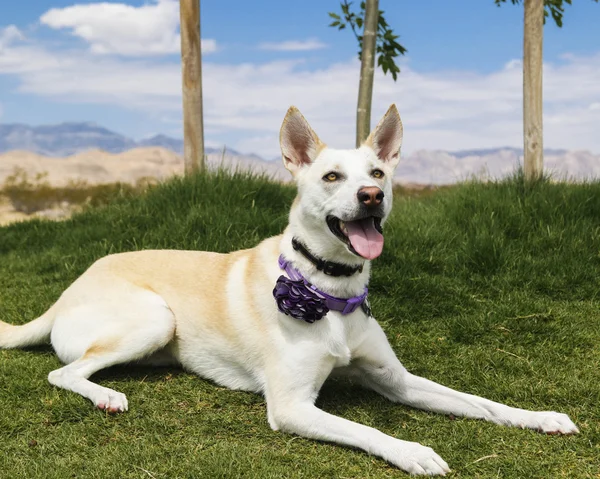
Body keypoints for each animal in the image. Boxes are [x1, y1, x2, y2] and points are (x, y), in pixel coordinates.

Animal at [2, 106, 580, 476]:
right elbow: (368, 431)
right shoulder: (293, 407)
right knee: (64, 371)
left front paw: (539, 417)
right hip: (153, 317)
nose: (371, 196)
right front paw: (414, 450)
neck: (330, 288)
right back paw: (106, 395)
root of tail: (67, 290)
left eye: (377, 172)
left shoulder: (397, 381)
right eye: (331, 176)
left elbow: (481, 403)